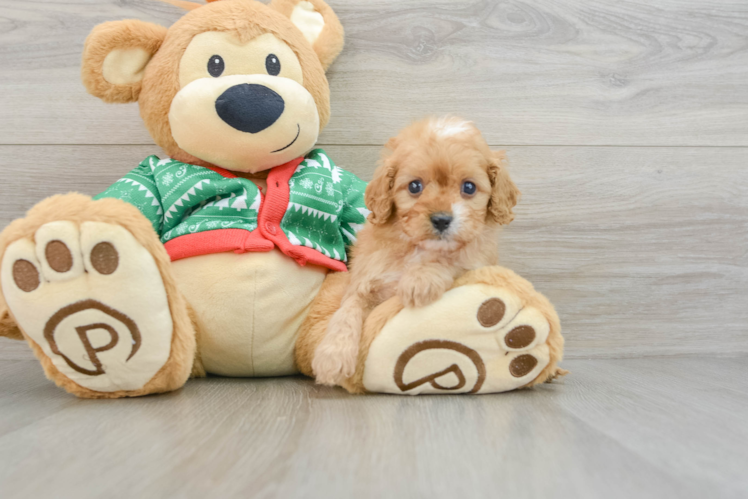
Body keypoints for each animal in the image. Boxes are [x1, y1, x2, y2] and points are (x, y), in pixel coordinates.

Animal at [312, 117, 520, 386]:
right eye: (414, 186)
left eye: (469, 187)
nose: (441, 219)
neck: (416, 248)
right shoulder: (365, 278)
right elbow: (347, 310)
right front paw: (332, 357)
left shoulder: (476, 261)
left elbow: (451, 259)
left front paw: (419, 280)